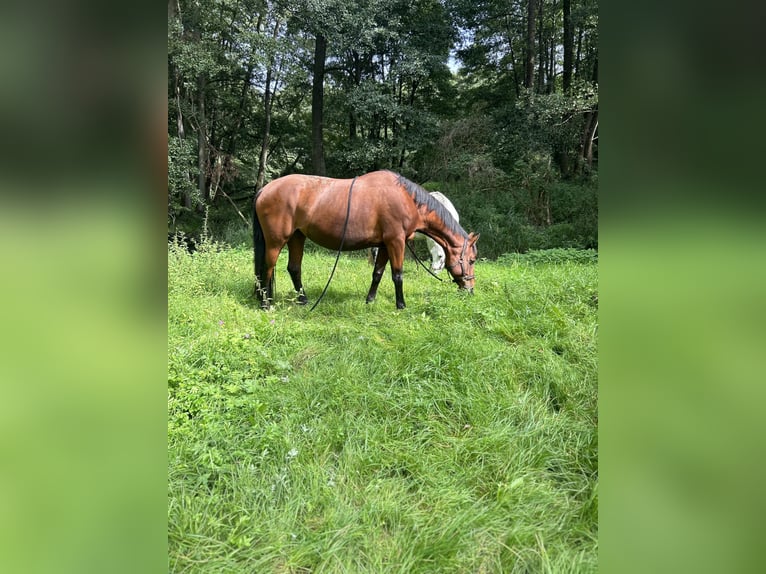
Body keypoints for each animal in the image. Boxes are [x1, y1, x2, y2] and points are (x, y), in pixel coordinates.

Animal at [252, 171, 480, 310]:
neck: (407, 199)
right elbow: (398, 275)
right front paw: (401, 305)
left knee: (294, 268)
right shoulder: (396, 242)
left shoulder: (385, 244)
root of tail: (265, 189)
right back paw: (266, 303)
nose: (470, 289)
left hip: (297, 237)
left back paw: (303, 299)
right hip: (276, 241)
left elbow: (377, 273)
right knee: (267, 268)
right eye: (471, 260)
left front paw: (370, 300)